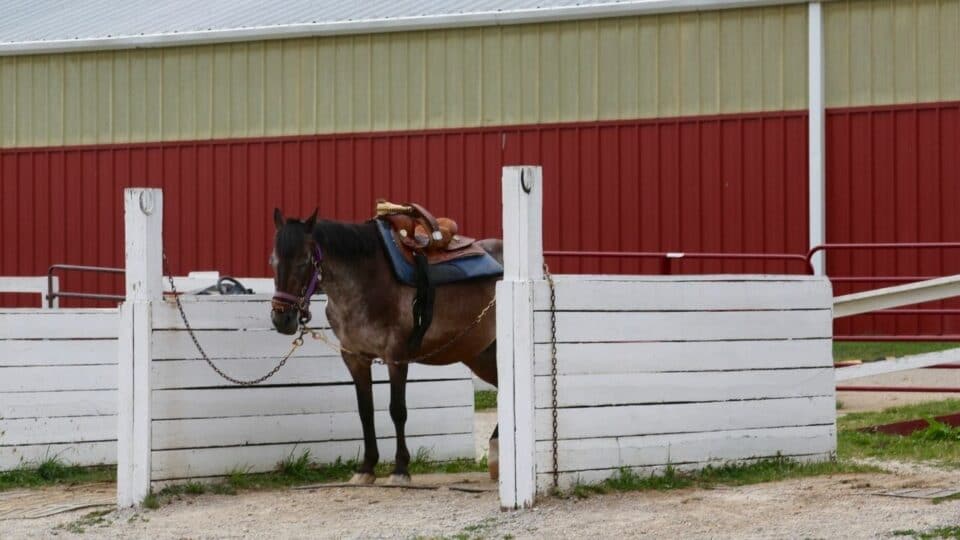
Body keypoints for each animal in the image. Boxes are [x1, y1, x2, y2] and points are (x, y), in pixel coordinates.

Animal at [269, 208, 501, 485]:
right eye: (273, 261)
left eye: (304, 261)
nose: (282, 319)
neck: (366, 279)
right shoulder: (355, 357)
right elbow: (365, 410)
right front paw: (366, 468)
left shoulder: (396, 356)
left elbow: (397, 410)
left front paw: (400, 469)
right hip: (482, 355)